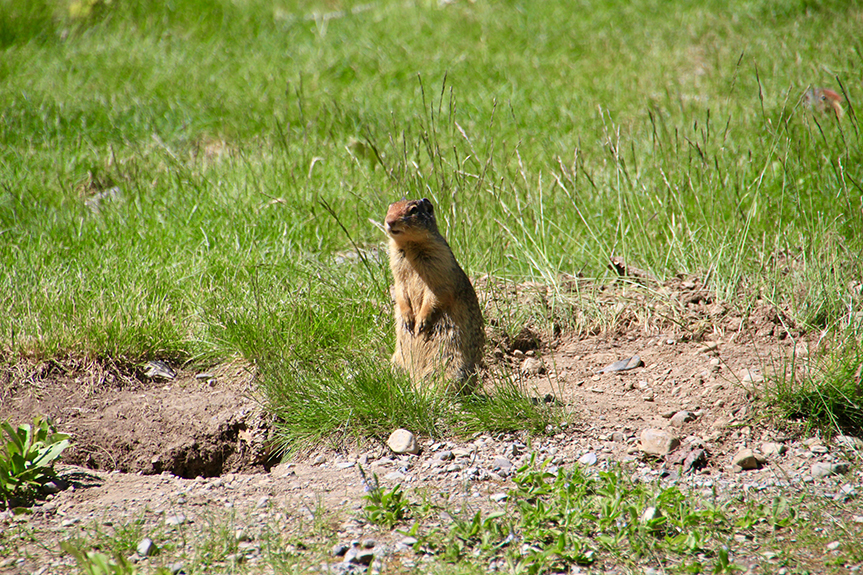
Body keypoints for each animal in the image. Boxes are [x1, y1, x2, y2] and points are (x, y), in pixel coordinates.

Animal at [386, 197, 486, 392]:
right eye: (390, 207)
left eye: (414, 210)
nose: (389, 221)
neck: (409, 245)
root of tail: (414, 381)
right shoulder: (397, 272)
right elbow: (400, 292)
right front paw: (408, 319)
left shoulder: (440, 267)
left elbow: (436, 295)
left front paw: (420, 323)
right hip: (396, 360)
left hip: (451, 364)